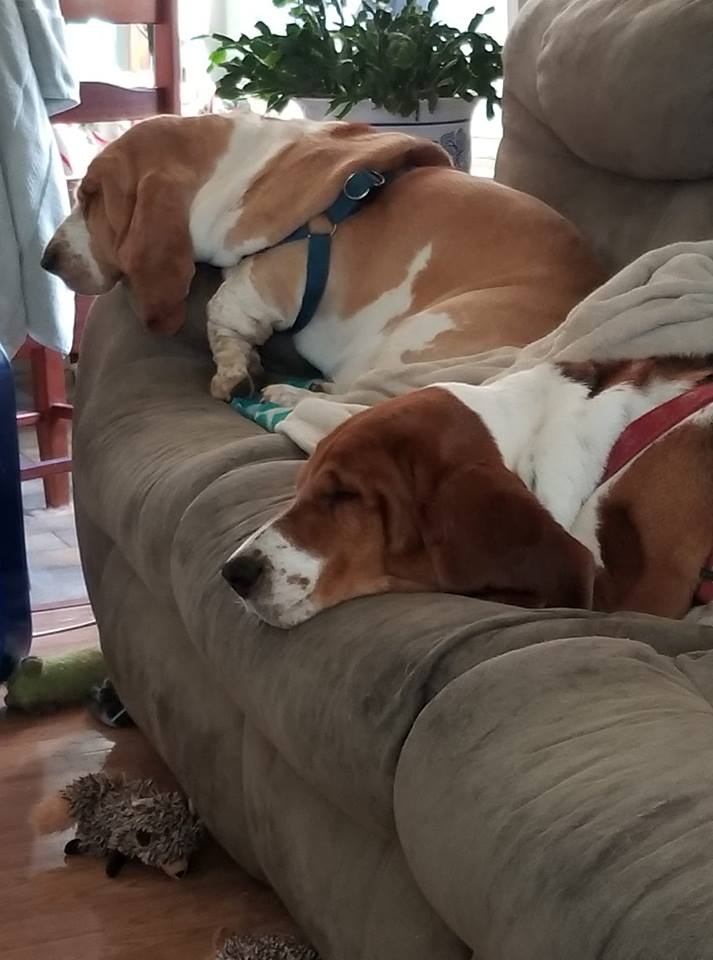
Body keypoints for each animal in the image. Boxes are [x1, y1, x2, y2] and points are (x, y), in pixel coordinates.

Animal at [41, 109, 604, 402]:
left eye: (90, 195)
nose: (47, 260)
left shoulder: (267, 283)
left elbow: (221, 311)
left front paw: (235, 373)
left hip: (417, 337)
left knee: (364, 400)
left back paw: (291, 397)